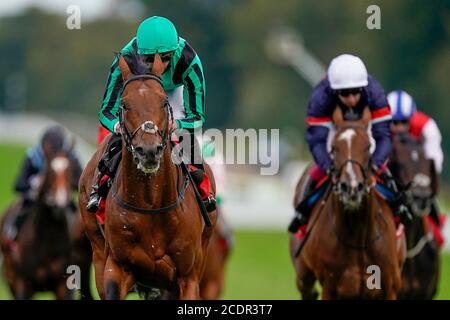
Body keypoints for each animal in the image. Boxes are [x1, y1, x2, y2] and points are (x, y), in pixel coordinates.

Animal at [290, 107, 406, 300]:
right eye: (334, 148)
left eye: (367, 147)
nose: (351, 186)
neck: (358, 236)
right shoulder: (330, 287)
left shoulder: (390, 287)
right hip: (303, 274)